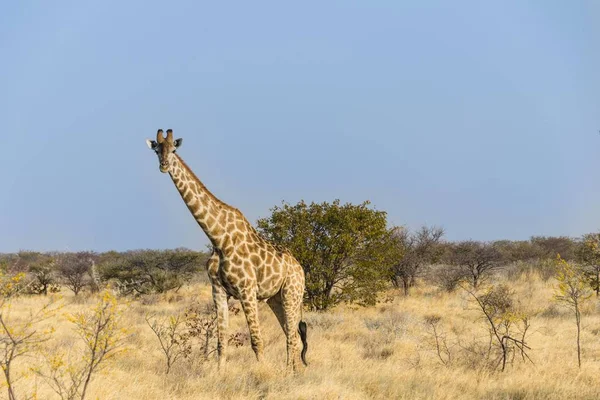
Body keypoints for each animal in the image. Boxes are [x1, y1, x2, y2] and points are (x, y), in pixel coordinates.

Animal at [146, 130, 310, 370]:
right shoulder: (218, 290)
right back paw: (293, 371)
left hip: (292, 293)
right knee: (293, 335)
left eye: (174, 150)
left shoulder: (247, 290)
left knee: (292, 336)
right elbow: (221, 340)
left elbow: (256, 340)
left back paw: (290, 373)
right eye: (157, 150)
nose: (164, 165)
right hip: (276, 299)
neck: (218, 239)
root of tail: (300, 268)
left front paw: (262, 374)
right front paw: (218, 374)